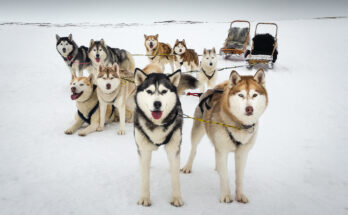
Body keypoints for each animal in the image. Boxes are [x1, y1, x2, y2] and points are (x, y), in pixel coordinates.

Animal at [133, 68, 201, 207]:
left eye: (164, 91)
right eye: (149, 91)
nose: (157, 103)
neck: (157, 124)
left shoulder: (173, 148)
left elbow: (175, 178)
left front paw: (176, 198)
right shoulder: (143, 149)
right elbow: (144, 177)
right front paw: (144, 198)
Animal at [182, 68, 270, 203]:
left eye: (255, 95)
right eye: (241, 95)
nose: (249, 109)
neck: (240, 125)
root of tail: (213, 89)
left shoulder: (242, 153)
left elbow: (239, 177)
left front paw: (240, 195)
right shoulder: (222, 150)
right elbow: (225, 176)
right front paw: (226, 195)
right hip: (197, 131)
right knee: (194, 150)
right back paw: (188, 166)